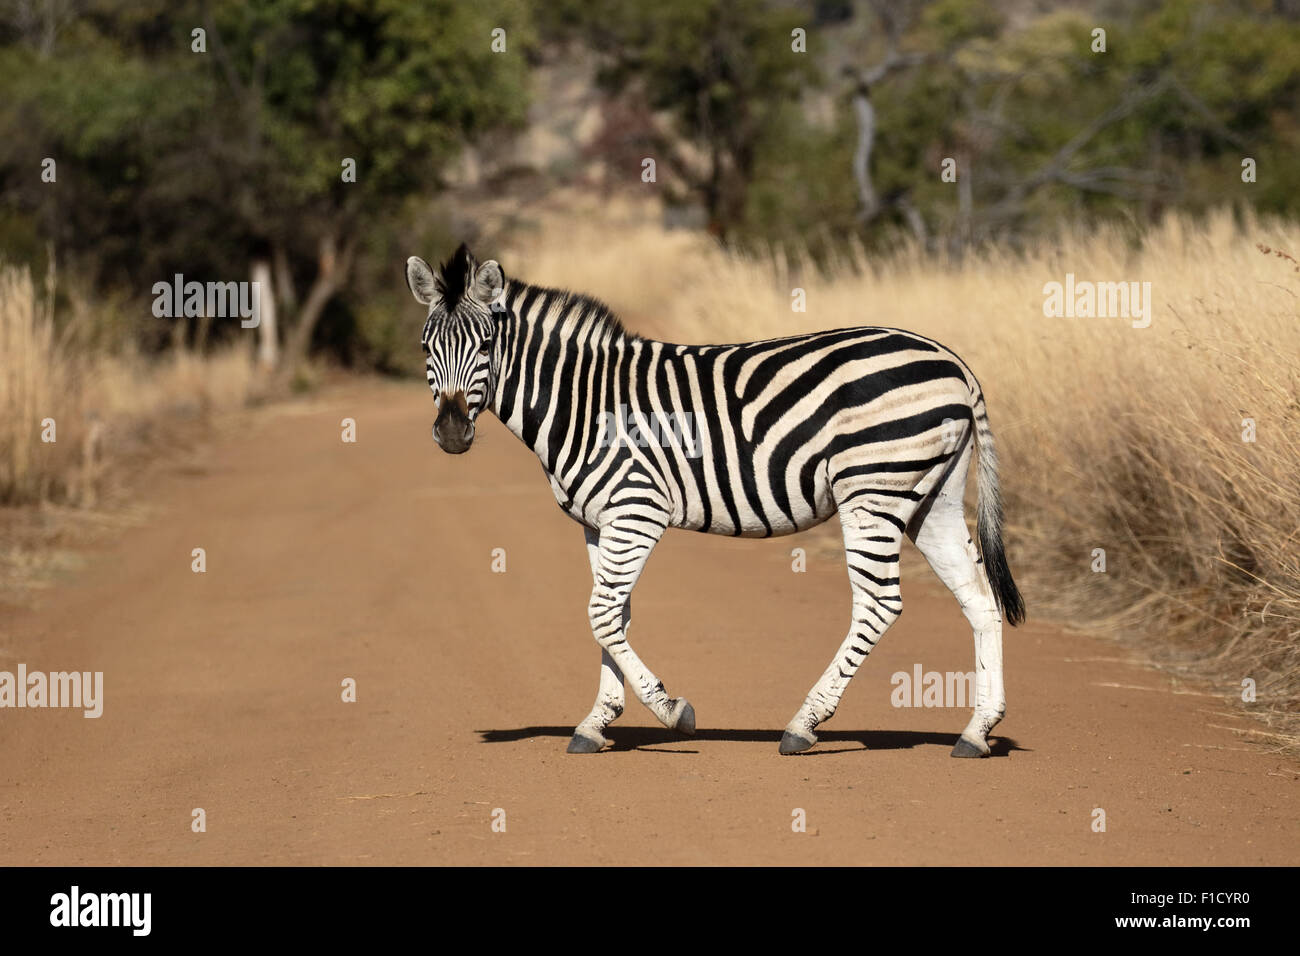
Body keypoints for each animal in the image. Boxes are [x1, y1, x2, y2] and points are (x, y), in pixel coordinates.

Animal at [408, 243, 1024, 759]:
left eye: (487, 345)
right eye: (425, 348)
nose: (453, 434)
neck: (581, 399)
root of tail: (953, 362)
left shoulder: (637, 509)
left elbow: (602, 613)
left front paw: (671, 711)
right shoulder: (598, 521)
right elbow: (612, 613)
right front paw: (597, 723)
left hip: (871, 488)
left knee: (879, 604)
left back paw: (803, 725)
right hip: (930, 497)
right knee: (979, 598)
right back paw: (976, 732)